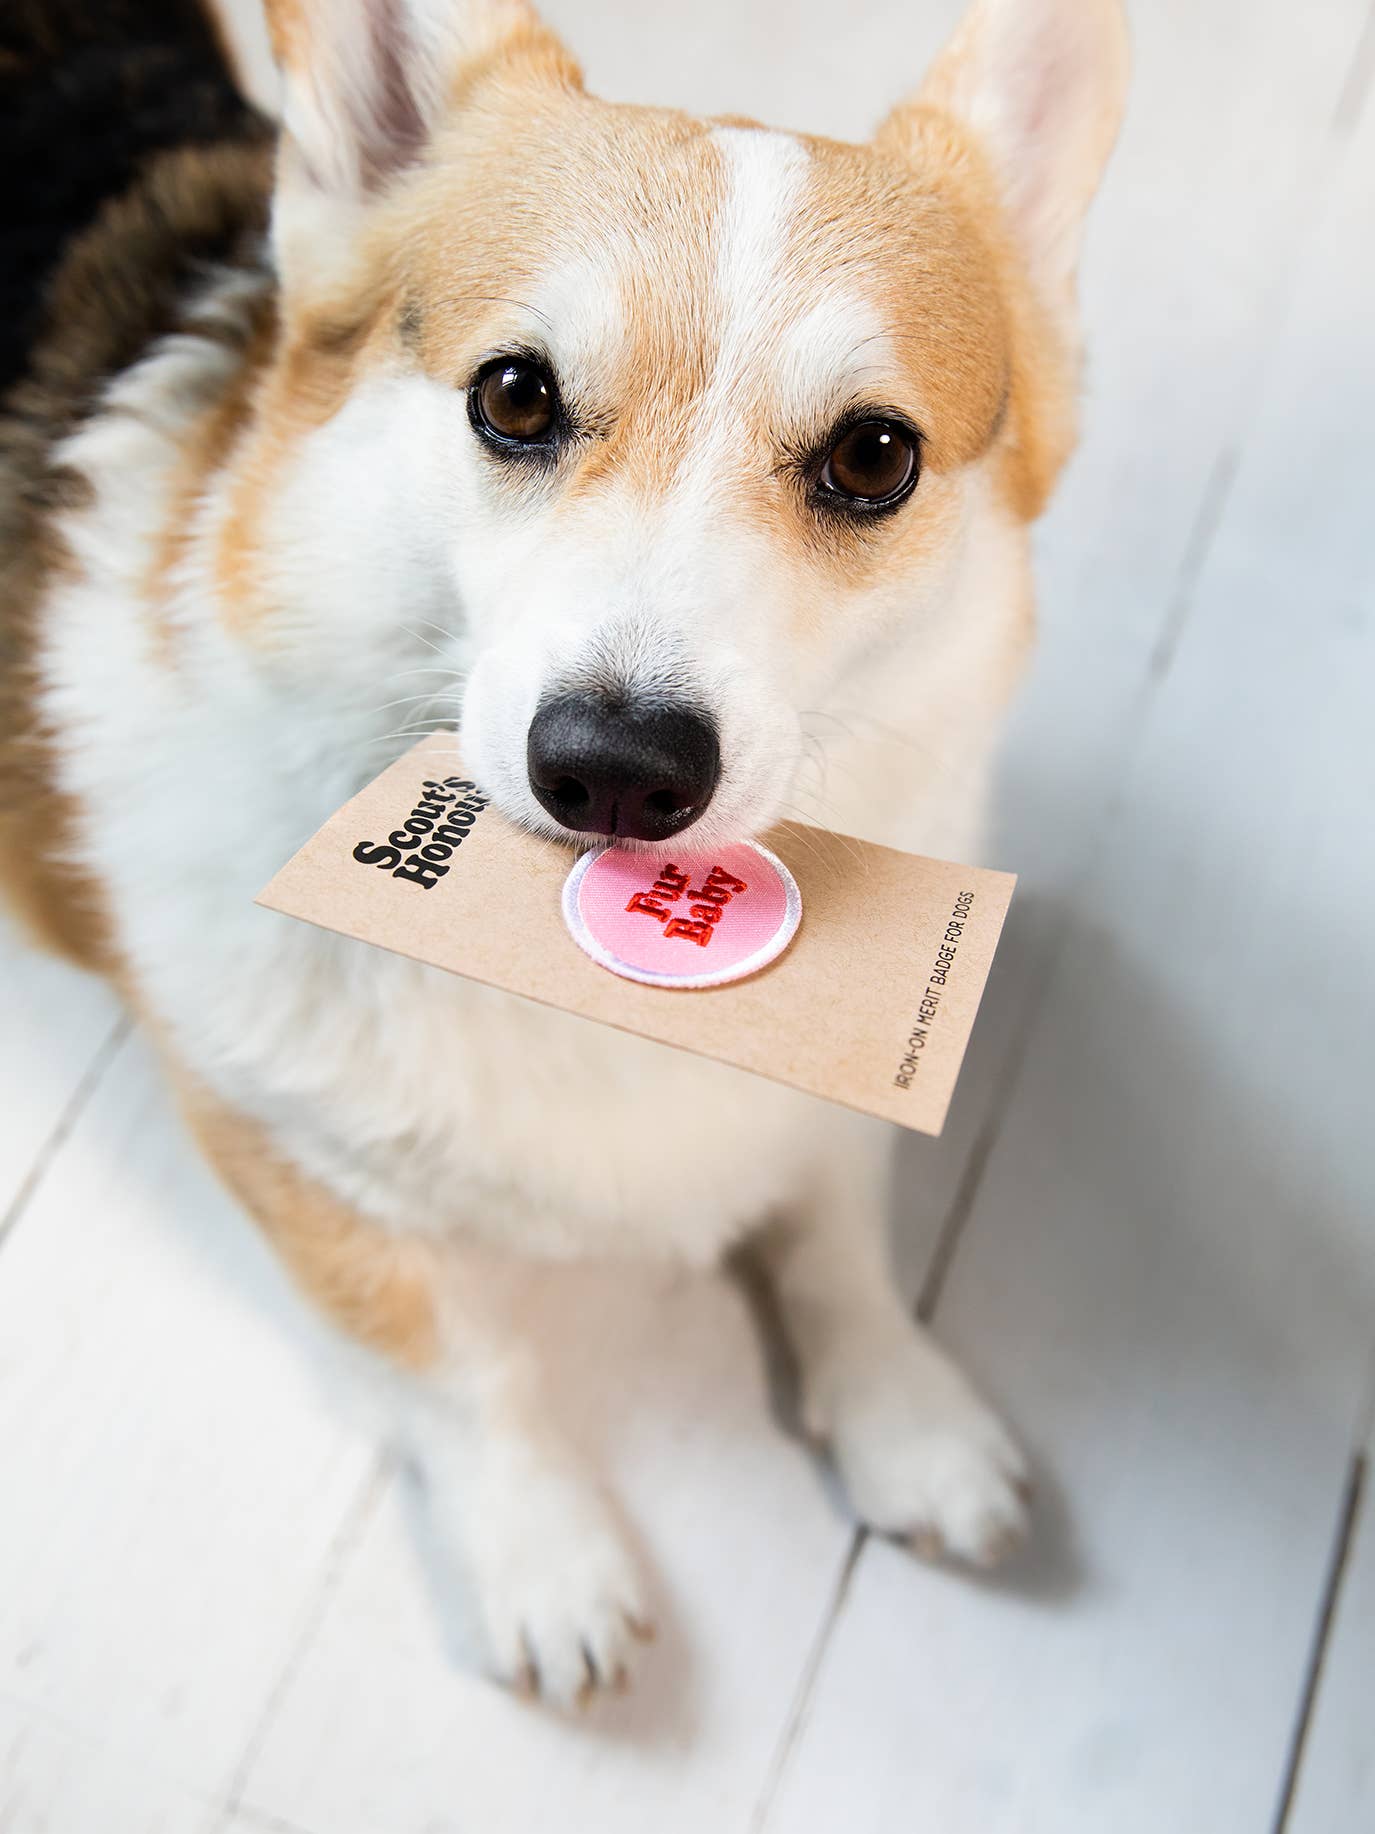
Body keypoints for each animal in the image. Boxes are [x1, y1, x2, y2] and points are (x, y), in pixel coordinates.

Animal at [0, 0, 1129, 1701]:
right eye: (515, 396)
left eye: (873, 457)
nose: (616, 769)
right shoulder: (273, 1140)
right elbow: (457, 1364)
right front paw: (541, 1553)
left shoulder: (821, 1110)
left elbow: (836, 1235)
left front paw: (903, 1408)